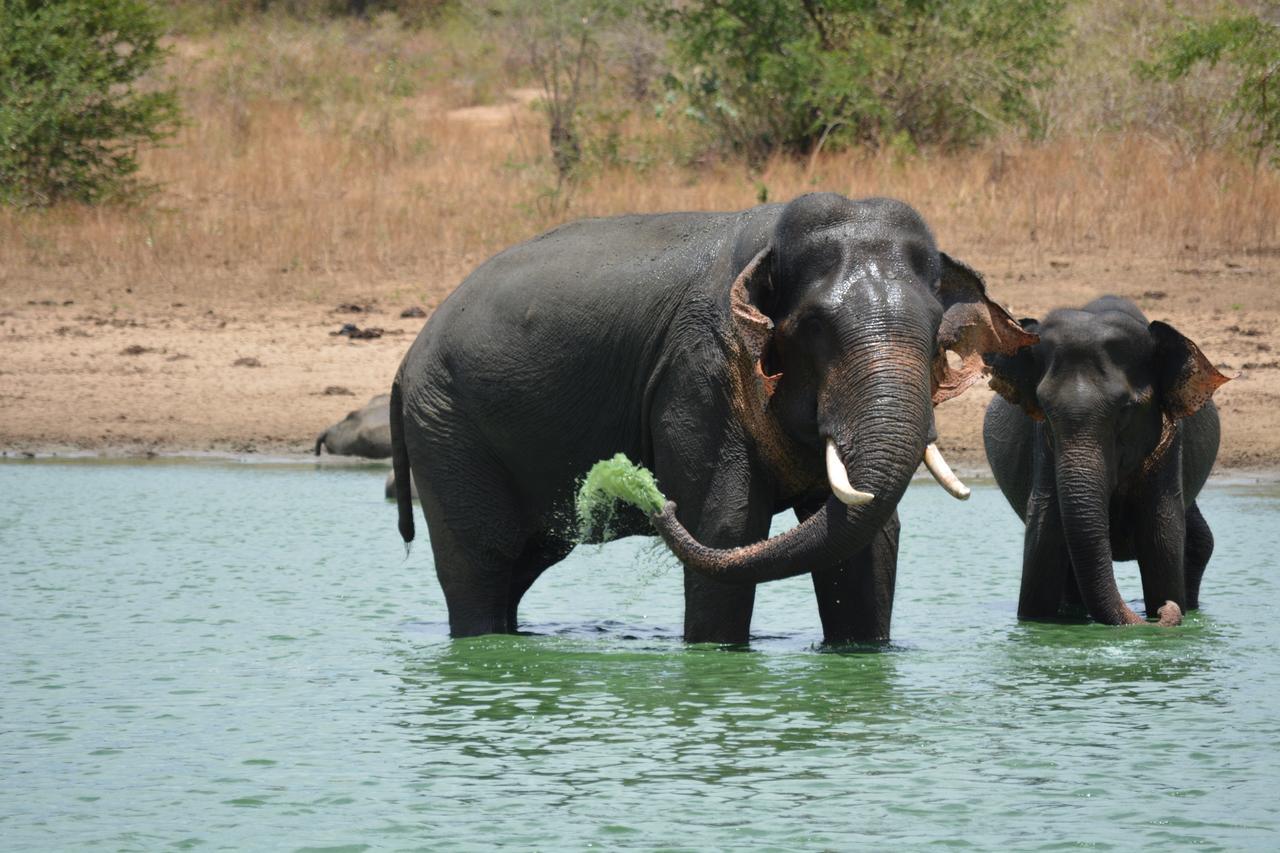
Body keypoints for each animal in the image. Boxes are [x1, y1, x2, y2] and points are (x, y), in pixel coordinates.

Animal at [391, 192, 1039, 640]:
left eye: (937, 332)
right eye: (813, 328)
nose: (646, 492)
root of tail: (404, 364)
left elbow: (868, 540)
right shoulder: (695, 371)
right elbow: (726, 528)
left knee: (521, 564)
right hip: (445, 424)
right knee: (482, 563)